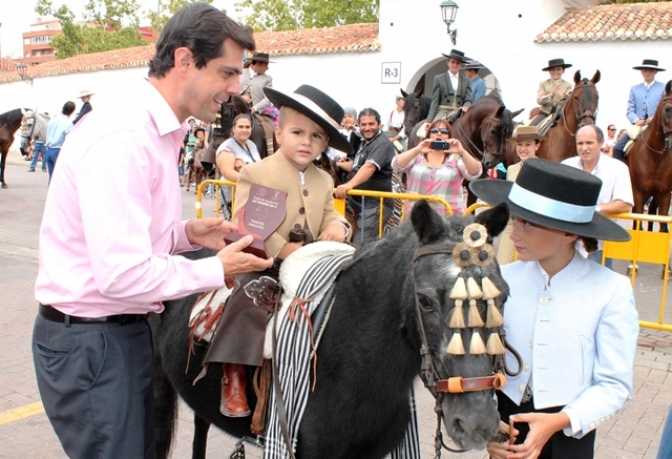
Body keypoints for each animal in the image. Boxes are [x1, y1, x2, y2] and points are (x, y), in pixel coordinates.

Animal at [624, 80, 672, 234]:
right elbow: (637, 225)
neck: (655, 155)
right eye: (668, 109)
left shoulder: (664, 195)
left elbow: (663, 227)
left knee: (651, 212)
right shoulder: (638, 194)